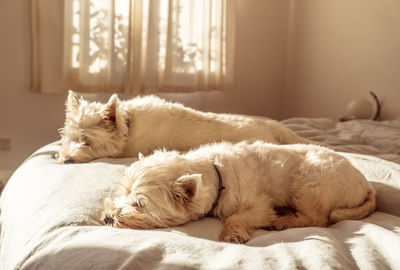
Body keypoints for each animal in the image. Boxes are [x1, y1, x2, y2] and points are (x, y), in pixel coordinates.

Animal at [99, 141, 376, 245]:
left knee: (317, 217)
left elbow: (236, 217)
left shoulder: (260, 206)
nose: (107, 218)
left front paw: (231, 233)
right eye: (123, 193)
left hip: (311, 180)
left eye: (139, 204)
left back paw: (284, 221)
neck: (217, 174)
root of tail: (365, 184)